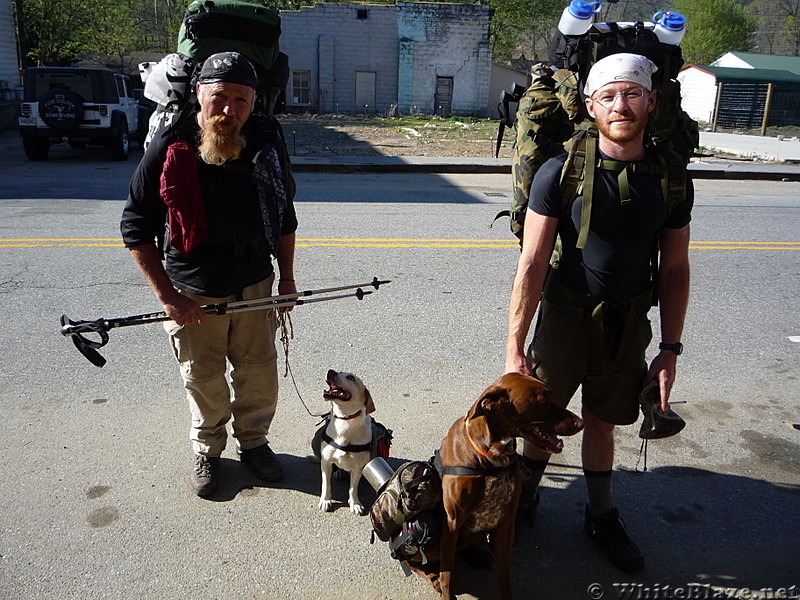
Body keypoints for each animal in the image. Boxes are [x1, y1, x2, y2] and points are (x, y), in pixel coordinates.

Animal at [318, 368, 376, 512]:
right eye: (339, 371)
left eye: (351, 378)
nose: (330, 371)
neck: (345, 421)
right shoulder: (326, 462)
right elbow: (326, 484)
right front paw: (325, 500)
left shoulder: (357, 468)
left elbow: (353, 488)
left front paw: (355, 503)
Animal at [422, 372, 584, 596]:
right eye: (543, 399)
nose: (581, 423)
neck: (489, 456)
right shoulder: (452, 522)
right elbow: (448, 576)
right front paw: (444, 587)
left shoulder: (506, 524)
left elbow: (504, 576)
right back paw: (432, 575)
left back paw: (478, 555)